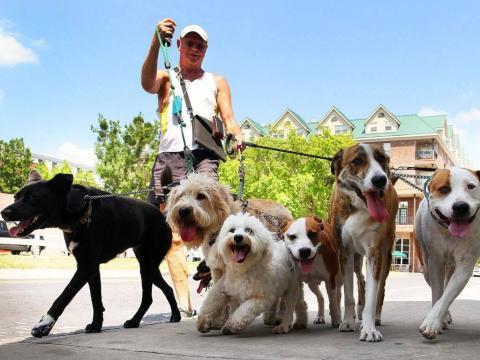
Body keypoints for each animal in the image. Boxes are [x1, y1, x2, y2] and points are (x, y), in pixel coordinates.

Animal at [0, 170, 180, 336]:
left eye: (32, 198)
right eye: (15, 198)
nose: (4, 212)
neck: (80, 211)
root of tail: (163, 215)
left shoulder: (85, 267)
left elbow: (63, 297)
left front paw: (43, 325)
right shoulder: (92, 268)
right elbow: (96, 299)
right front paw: (96, 325)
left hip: (148, 266)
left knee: (148, 298)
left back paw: (135, 321)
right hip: (148, 265)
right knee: (168, 288)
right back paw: (175, 316)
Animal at [330, 143, 398, 340]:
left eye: (382, 158)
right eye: (357, 161)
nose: (381, 180)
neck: (359, 208)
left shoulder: (374, 252)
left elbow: (372, 295)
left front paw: (369, 328)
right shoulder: (345, 252)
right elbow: (348, 294)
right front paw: (347, 322)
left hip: (386, 254)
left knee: (380, 288)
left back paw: (376, 317)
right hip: (356, 258)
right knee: (360, 279)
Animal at [414, 167, 478, 338]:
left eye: (471, 186)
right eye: (444, 189)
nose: (461, 206)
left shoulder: (465, 266)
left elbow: (447, 294)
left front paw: (433, 321)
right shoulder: (435, 262)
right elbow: (437, 293)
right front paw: (435, 321)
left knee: (447, 285)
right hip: (425, 267)